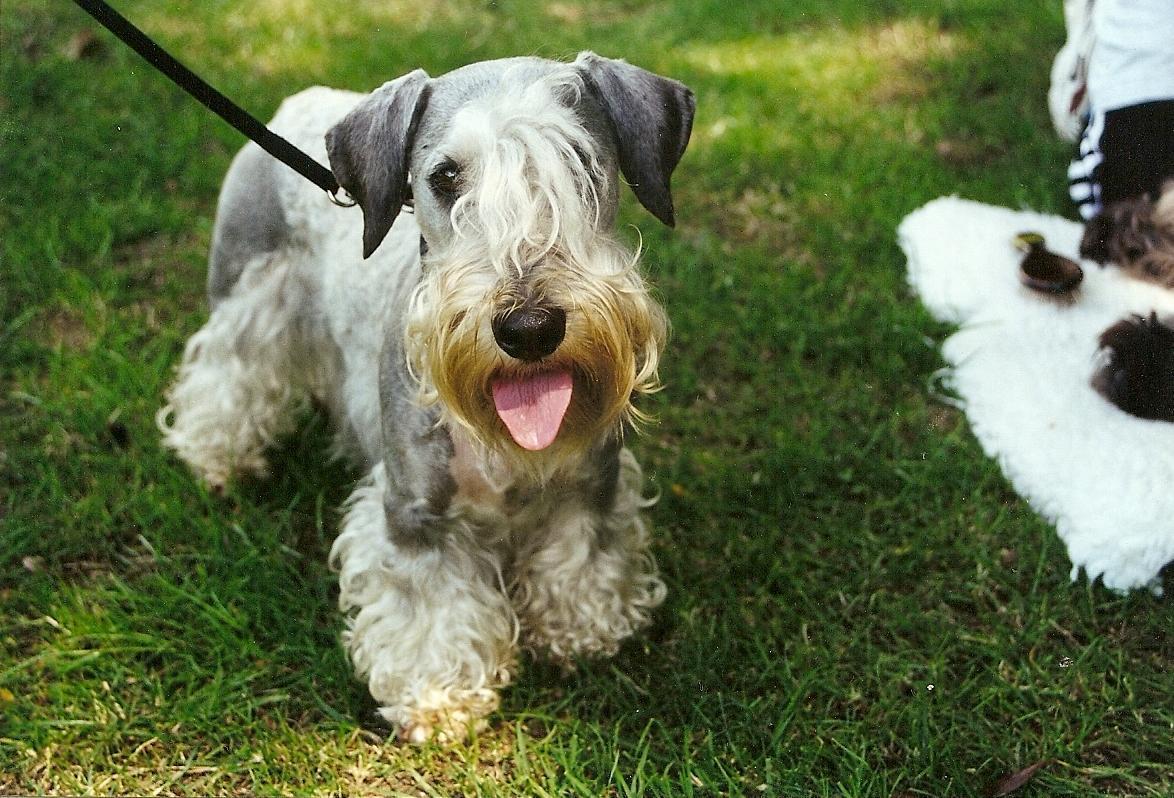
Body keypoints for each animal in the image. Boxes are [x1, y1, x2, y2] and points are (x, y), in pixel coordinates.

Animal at [162, 54, 695, 741]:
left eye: (579, 161)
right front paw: (437, 696)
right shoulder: (417, 515)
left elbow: (582, 551)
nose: (529, 328)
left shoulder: (592, 483)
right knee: (224, 375)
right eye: (445, 176)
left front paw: (582, 627)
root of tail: (300, 101)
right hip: (245, 291)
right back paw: (218, 459)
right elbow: (430, 607)